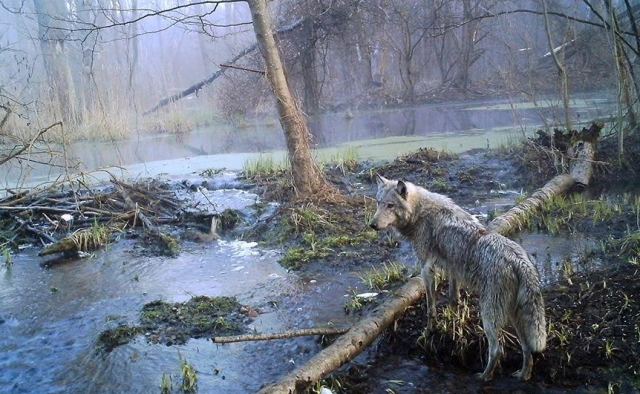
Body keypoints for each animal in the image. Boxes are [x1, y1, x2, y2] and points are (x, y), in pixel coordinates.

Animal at [370, 175, 544, 382]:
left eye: (390, 205)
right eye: (378, 203)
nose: (372, 225)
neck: (420, 213)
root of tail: (520, 261)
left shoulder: (427, 270)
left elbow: (430, 308)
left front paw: (429, 332)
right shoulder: (453, 269)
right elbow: (454, 299)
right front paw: (453, 327)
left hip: (489, 317)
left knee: (497, 350)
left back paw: (484, 377)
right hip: (514, 317)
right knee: (527, 349)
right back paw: (523, 375)